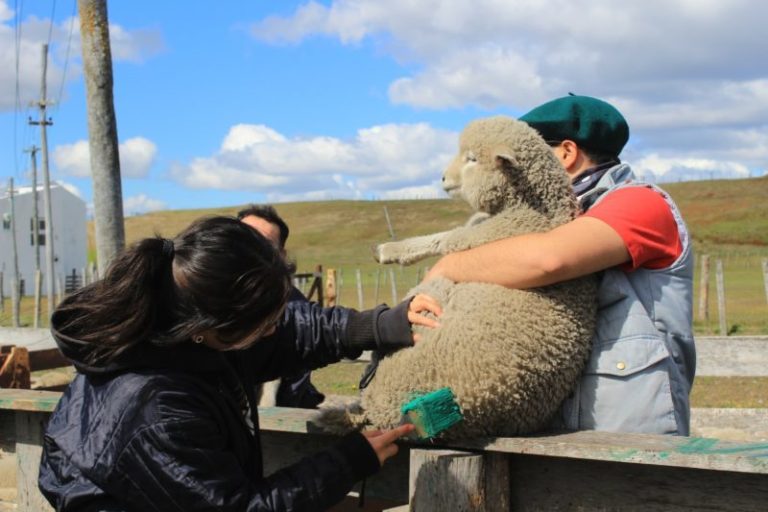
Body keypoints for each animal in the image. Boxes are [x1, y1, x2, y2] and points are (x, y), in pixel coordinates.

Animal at [324, 117, 600, 440]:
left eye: (472, 159)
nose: (443, 178)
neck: (535, 212)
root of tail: (383, 413)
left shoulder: (477, 239)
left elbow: (442, 239)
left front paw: (389, 250)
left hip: (430, 304)